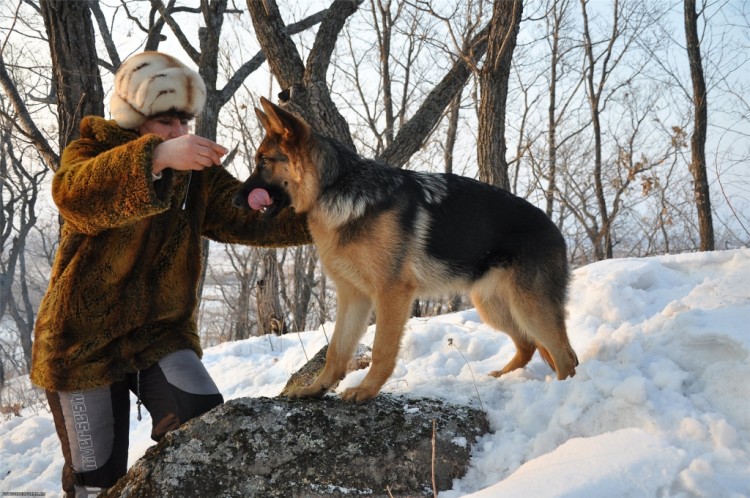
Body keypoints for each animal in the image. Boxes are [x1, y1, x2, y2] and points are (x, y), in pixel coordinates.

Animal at [238, 98, 580, 404]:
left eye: (263, 161)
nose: (236, 200)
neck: (334, 186)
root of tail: (555, 229)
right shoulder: (354, 297)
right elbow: (336, 349)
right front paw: (316, 388)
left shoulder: (391, 294)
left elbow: (381, 349)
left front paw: (366, 390)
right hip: (494, 306)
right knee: (530, 345)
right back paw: (502, 377)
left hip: (529, 306)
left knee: (565, 355)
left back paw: (563, 395)